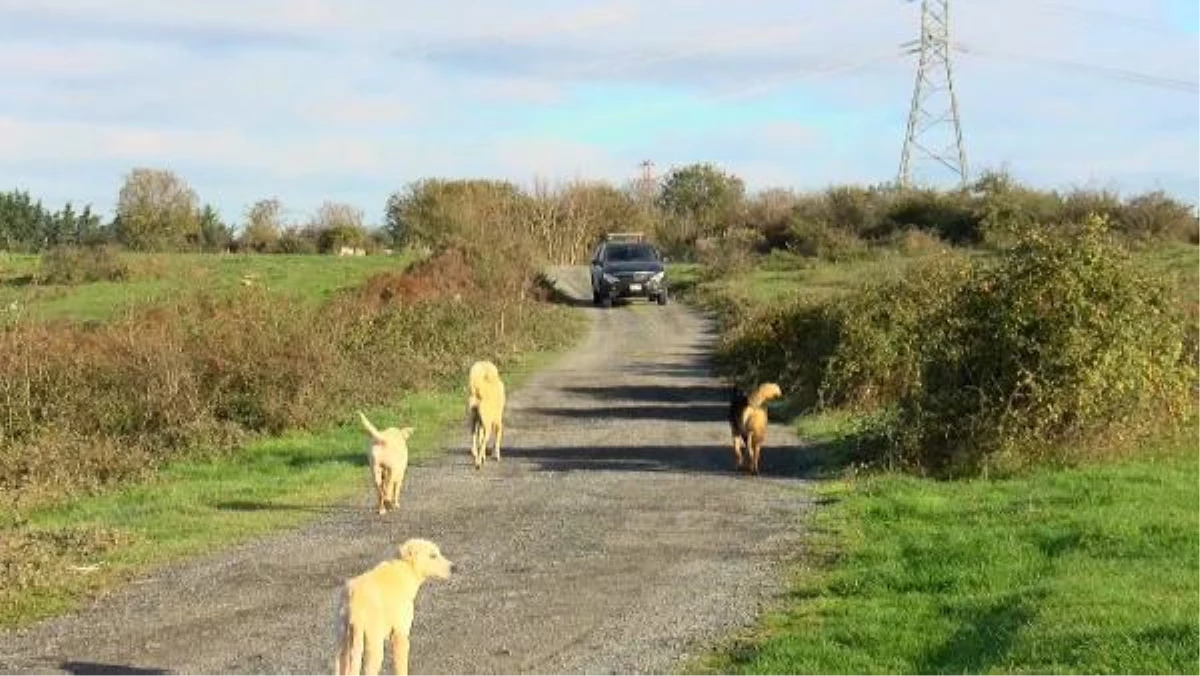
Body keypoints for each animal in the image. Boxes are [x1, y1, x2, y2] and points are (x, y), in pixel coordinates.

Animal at [333, 540, 453, 676]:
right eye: (433, 555)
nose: (453, 567)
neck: (406, 569)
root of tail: (352, 600)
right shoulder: (400, 635)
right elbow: (401, 668)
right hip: (373, 644)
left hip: (343, 641)